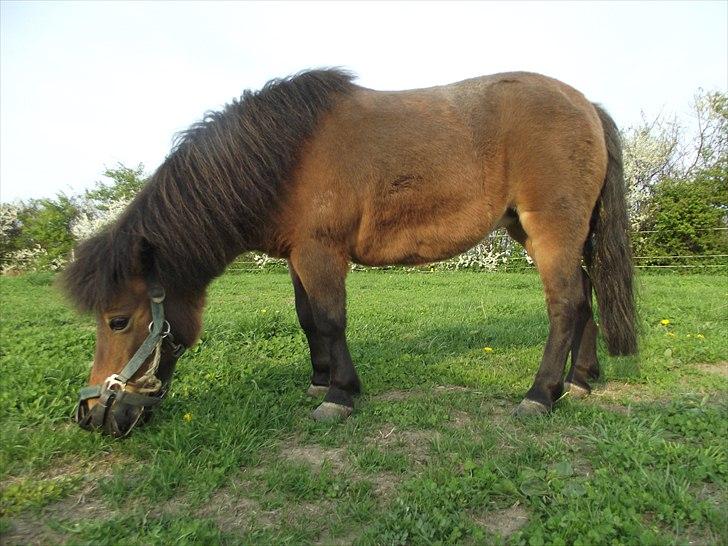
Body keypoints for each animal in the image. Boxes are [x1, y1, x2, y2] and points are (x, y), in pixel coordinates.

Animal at [67, 69, 636, 434]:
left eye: (118, 320)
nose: (93, 417)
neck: (283, 157)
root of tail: (587, 105)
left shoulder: (321, 253)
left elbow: (329, 318)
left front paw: (340, 395)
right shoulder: (297, 256)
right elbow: (307, 319)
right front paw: (320, 382)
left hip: (551, 229)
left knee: (564, 305)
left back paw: (541, 394)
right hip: (542, 233)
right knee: (584, 298)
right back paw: (579, 382)